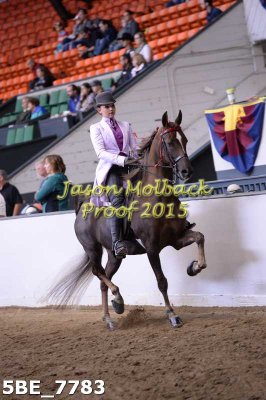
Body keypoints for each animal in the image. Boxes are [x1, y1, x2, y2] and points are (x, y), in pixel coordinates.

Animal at [48, 111, 208, 330]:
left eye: (184, 140)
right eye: (169, 142)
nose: (186, 172)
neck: (159, 198)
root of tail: (82, 208)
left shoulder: (176, 239)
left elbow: (200, 237)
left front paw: (194, 267)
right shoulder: (151, 248)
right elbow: (162, 281)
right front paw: (172, 315)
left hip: (114, 255)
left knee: (103, 279)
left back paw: (109, 316)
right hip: (92, 249)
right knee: (98, 272)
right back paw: (118, 299)